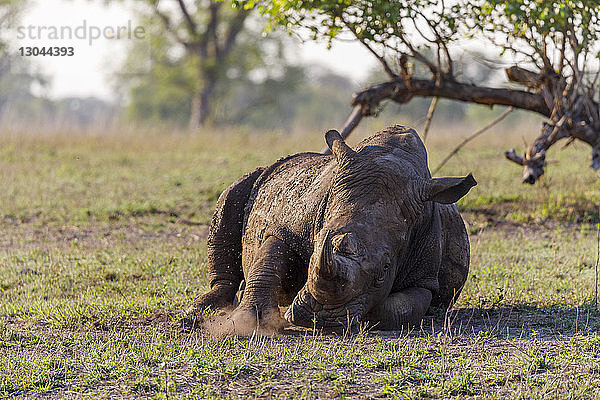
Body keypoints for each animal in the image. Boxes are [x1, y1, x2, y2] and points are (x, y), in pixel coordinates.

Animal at [195, 126, 476, 332]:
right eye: (316, 246)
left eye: (385, 269)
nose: (320, 317)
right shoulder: (286, 229)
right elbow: (267, 262)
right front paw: (245, 322)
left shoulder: (424, 277)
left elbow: (400, 308)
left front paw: (363, 316)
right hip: (263, 176)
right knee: (230, 195)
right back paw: (207, 307)